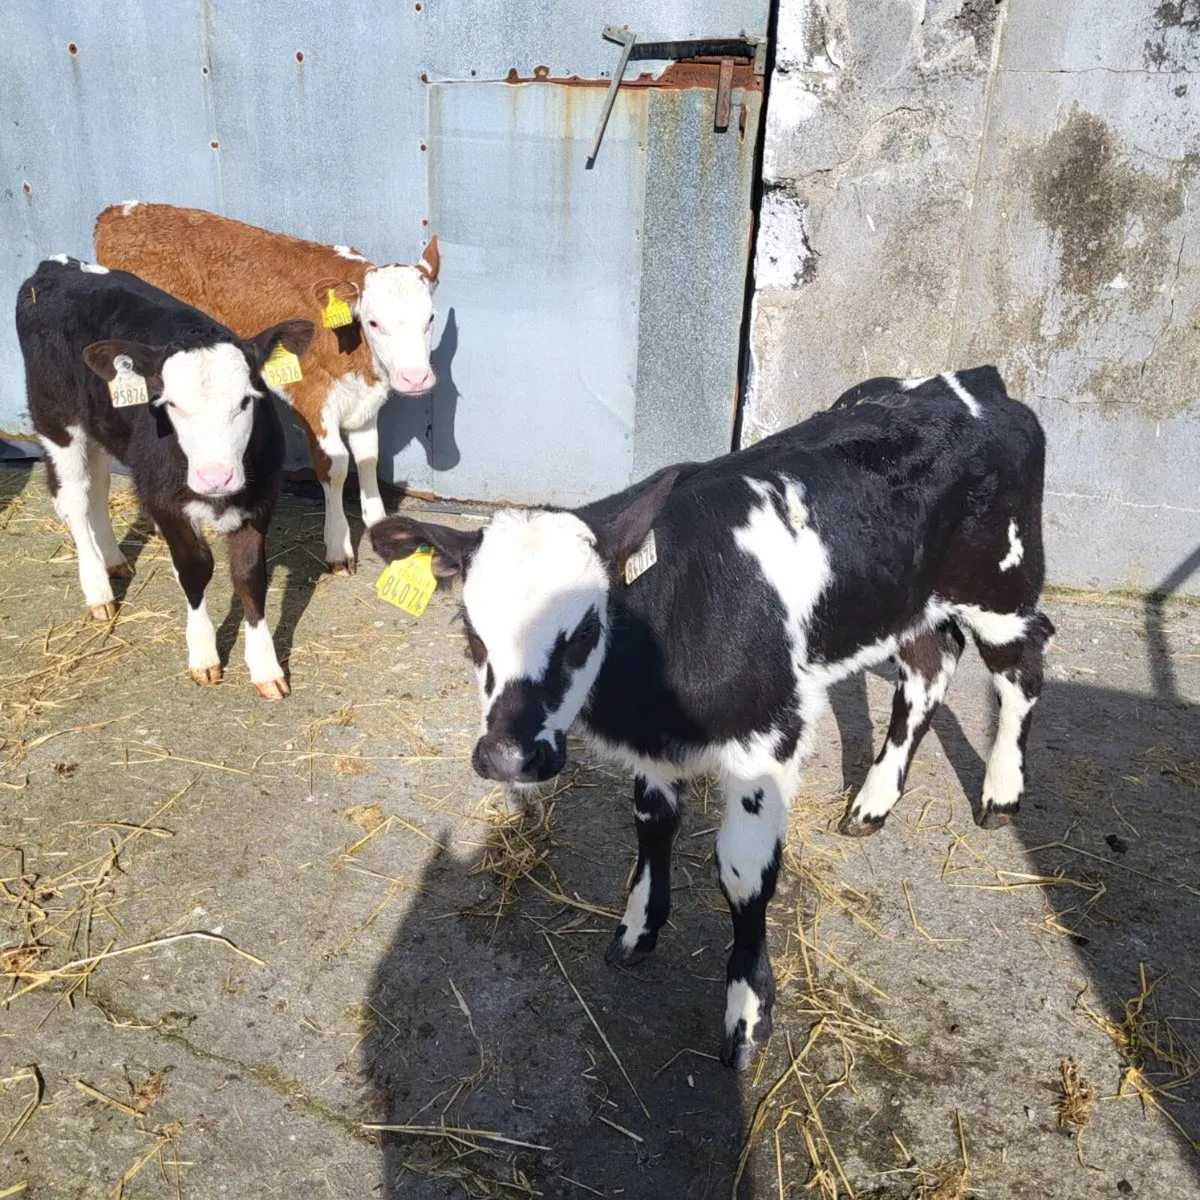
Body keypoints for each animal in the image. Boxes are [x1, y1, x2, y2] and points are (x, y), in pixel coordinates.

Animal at [15, 256, 314, 699]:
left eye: (247, 400)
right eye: (170, 404)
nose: (215, 477)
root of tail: (56, 265)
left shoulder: (259, 498)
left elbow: (249, 577)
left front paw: (265, 669)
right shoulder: (162, 499)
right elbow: (195, 568)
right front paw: (204, 655)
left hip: (105, 425)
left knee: (98, 489)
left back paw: (115, 561)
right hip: (56, 417)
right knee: (74, 498)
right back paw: (98, 589)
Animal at [94, 202, 439, 576]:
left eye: (430, 318)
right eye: (374, 322)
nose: (415, 378)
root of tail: (117, 211)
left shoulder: (364, 402)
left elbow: (368, 459)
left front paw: (379, 526)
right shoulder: (312, 398)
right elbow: (335, 466)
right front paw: (338, 547)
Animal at [368, 367, 1054, 1069]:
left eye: (584, 631)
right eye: (471, 633)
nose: (508, 756)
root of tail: (974, 380)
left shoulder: (767, 739)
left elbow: (744, 874)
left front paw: (747, 1012)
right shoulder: (655, 747)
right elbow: (652, 828)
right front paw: (638, 930)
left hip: (1001, 587)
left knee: (1022, 667)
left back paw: (1001, 792)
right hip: (904, 603)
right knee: (928, 667)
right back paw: (873, 802)